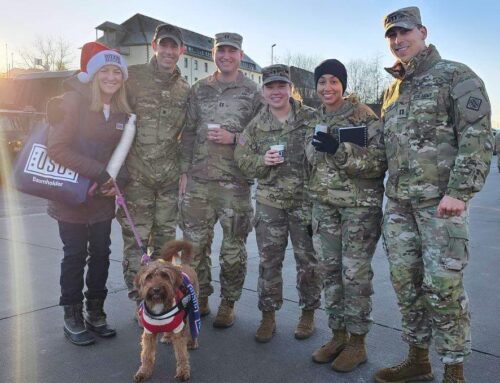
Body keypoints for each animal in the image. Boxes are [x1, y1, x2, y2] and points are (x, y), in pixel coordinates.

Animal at [135, 242, 201, 382]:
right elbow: (146, 355)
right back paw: (166, 336)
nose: (156, 289)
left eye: (165, 276)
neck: (159, 305)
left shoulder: (178, 331)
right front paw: (144, 372)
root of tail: (183, 265)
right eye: (149, 277)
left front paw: (183, 372)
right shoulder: (148, 333)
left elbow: (182, 355)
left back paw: (192, 342)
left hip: (192, 311)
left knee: (192, 328)